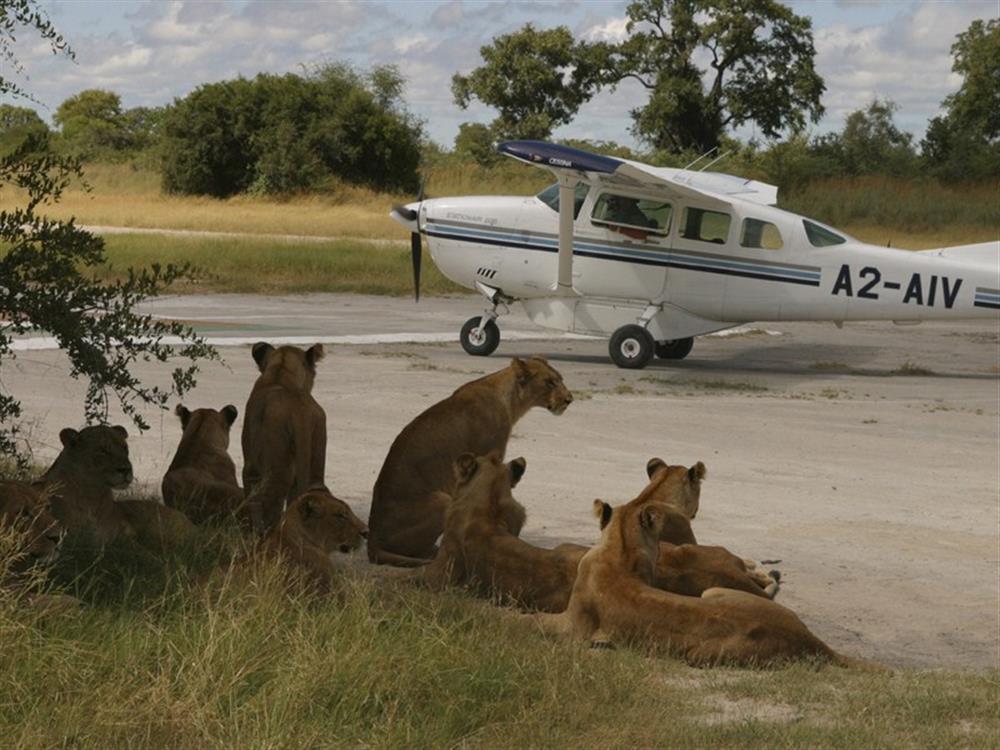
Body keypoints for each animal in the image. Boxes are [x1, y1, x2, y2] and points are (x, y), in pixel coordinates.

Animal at [242, 344, 328, 532]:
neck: (281, 373)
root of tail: (299, 412)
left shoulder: (250, 469)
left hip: (277, 471)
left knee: (271, 511)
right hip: (315, 464)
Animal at [368, 356, 572, 568]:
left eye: (560, 379)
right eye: (550, 382)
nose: (569, 399)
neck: (510, 400)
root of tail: (371, 540)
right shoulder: (489, 457)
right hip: (441, 500)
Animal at [532, 494, 860, 668]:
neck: (620, 551)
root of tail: (809, 639)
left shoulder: (574, 626)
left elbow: (530, 620)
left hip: (699, 654)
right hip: (713, 591)